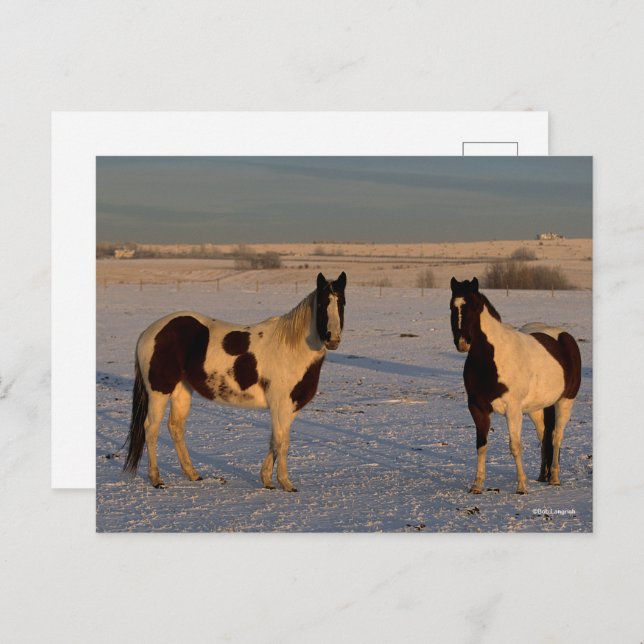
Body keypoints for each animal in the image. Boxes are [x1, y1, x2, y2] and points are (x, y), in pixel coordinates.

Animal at [123, 271, 347, 492]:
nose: (333, 339)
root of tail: (149, 332)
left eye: (342, 302)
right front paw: (286, 483)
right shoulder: (280, 405)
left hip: (182, 390)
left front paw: (267, 480)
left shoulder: (290, 407)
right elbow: (282, 443)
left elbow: (274, 441)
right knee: (151, 429)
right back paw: (156, 479)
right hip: (159, 391)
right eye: (322, 304)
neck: (291, 349)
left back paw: (193, 474)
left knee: (176, 427)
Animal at [449, 277, 581, 494]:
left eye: (474, 307)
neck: (492, 359)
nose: (462, 343)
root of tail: (564, 337)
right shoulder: (478, 408)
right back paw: (542, 476)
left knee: (557, 437)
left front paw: (521, 486)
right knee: (544, 436)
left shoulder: (512, 409)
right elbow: (481, 445)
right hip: (536, 409)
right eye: (453, 307)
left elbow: (515, 446)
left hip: (564, 402)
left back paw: (554, 477)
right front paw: (477, 485)